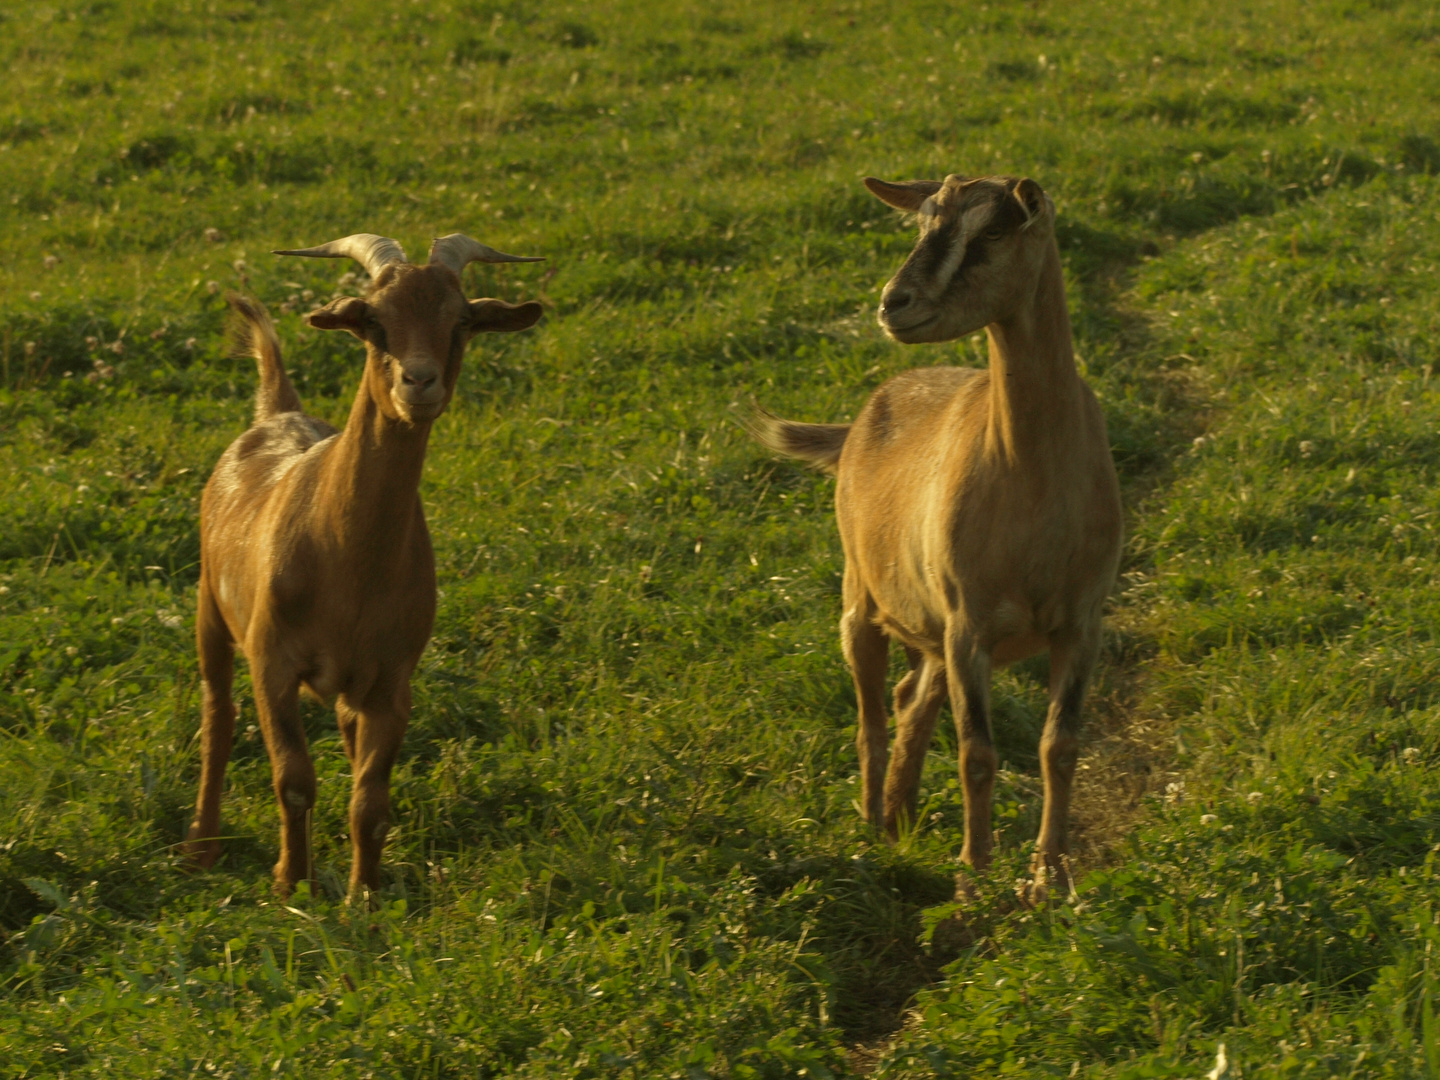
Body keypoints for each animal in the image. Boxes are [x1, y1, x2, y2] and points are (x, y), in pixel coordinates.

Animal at [180, 233, 541, 898]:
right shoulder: (273, 661)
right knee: (217, 717)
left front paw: (364, 897)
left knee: (346, 737)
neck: (344, 563)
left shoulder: (393, 680)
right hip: (210, 611)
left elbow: (370, 801)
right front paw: (290, 884)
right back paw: (201, 847)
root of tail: (274, 414)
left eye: (462, 320)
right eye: (374, 321)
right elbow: (293, 779)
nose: (418, 382)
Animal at [754, 175, 1123, 904]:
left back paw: (899, 817)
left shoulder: (1080, 621)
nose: (894, 303)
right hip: (862, 602)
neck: (1033, 489)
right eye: (922, 222)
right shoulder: (969, 625)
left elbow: (1058, 746)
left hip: (928, 627)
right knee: (870, 716)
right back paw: (872, 827)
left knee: (909, 701)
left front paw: (1049, 878)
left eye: (992, 231)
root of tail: (863, 418)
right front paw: (973, 879)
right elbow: (977, 753)